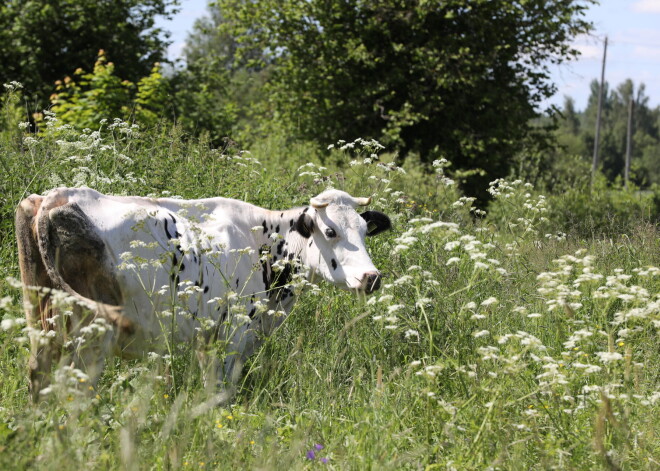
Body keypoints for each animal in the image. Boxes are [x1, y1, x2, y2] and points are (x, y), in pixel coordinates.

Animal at [15, 186, 392, 400]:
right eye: (330, 231)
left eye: (364, 229)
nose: (371, 277)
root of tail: (55, 196)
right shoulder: (234, 331)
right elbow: (222, 391)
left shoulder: (207, 336)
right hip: (88, 331)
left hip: (42, 317)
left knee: (38, 373)